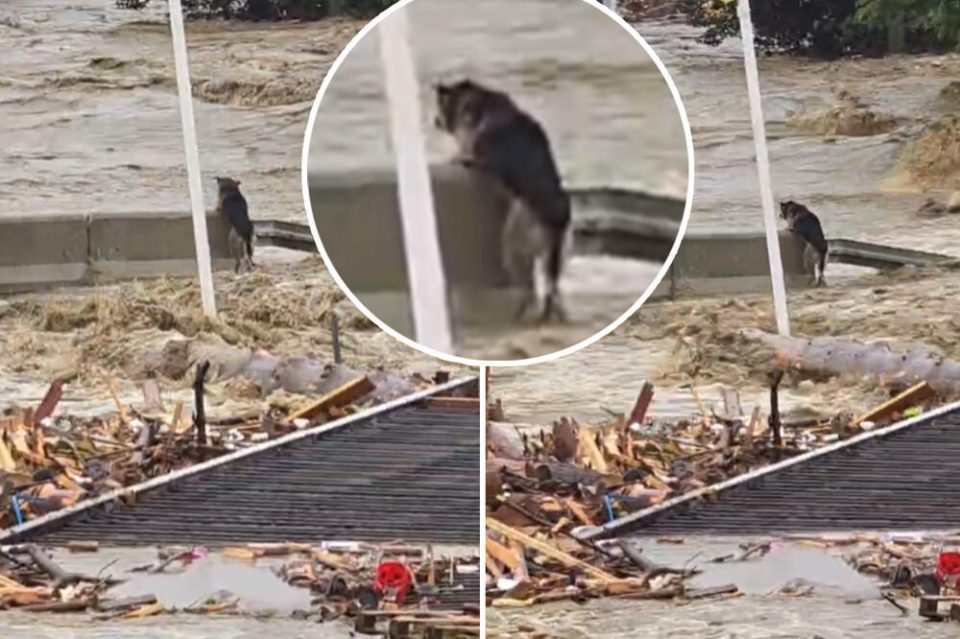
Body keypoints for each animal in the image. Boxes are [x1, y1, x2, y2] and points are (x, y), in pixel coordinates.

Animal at [434, 78, 568, 322]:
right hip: (551, 256)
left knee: (528, 286)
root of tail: (556, 221)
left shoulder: (475, 152)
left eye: (440, 106)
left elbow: (463, 156)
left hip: (514, 243)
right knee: (550, 286)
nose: (435, 121)